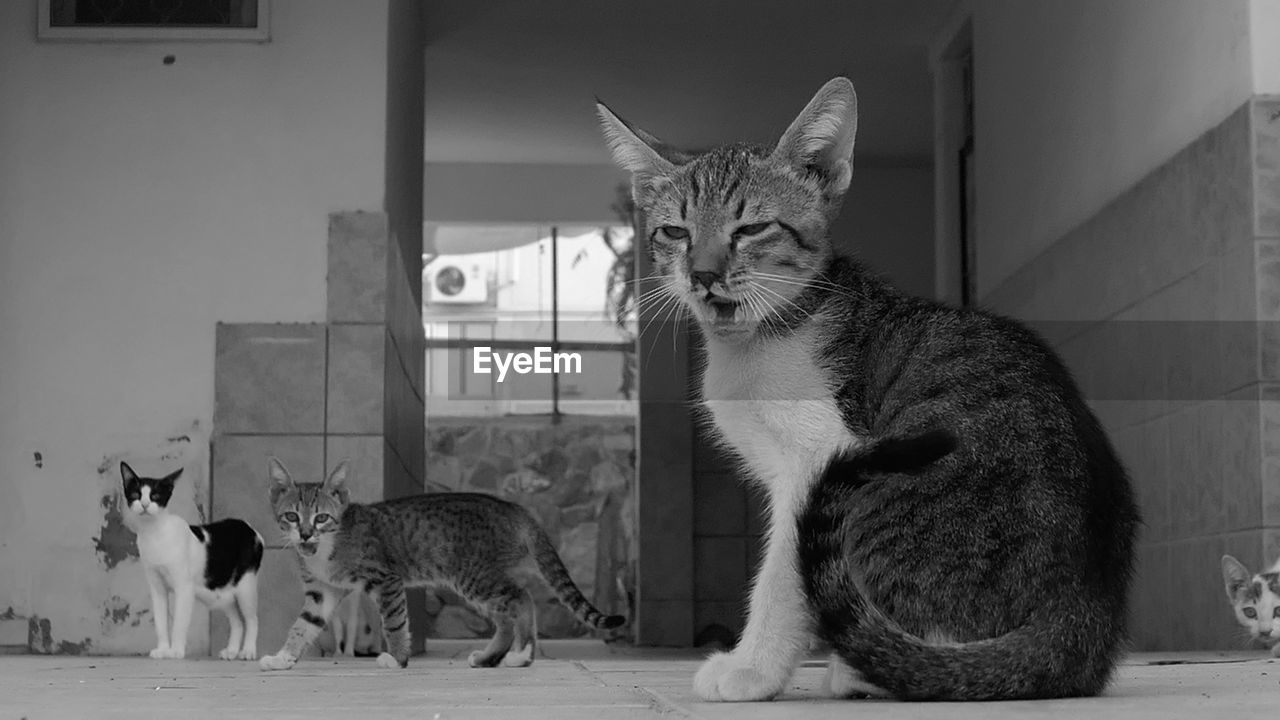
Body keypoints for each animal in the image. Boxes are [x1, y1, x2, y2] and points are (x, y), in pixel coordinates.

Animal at [122, 458, 267, 655]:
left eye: (155, 496)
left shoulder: (184, 588)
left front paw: (175, 651)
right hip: (223, 593)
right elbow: (160, 622)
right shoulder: (157, 588)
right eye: (136, 494)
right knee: (237, 621)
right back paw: (231, 651)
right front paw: (163, 649)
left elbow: (179, 623)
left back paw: (248, 651)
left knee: (252, 620)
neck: (154, 533)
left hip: (245, 588)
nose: (144, 504)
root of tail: (250, 528)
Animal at [257, 456, 622, 671]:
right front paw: (283, 657)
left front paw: (398, 659)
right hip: (477, 581)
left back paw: (523, 655)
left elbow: (395, 622)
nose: (305, 534)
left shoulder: (385, 579)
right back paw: (491, 657)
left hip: (475, 576)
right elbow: (303, 624)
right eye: (291, 516)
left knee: (522, 598)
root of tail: (514, 508)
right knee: (506, 616)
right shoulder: (322, 591)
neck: (326, 546)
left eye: (321, 517)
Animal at [599, 75, 1141, 696]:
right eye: (675, 231)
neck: (760, 337)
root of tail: (1083, 616)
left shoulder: (817, 458)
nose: (703, 274)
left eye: (752, 227)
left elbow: (783, 575)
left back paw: (864, 671)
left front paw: (752, 669)